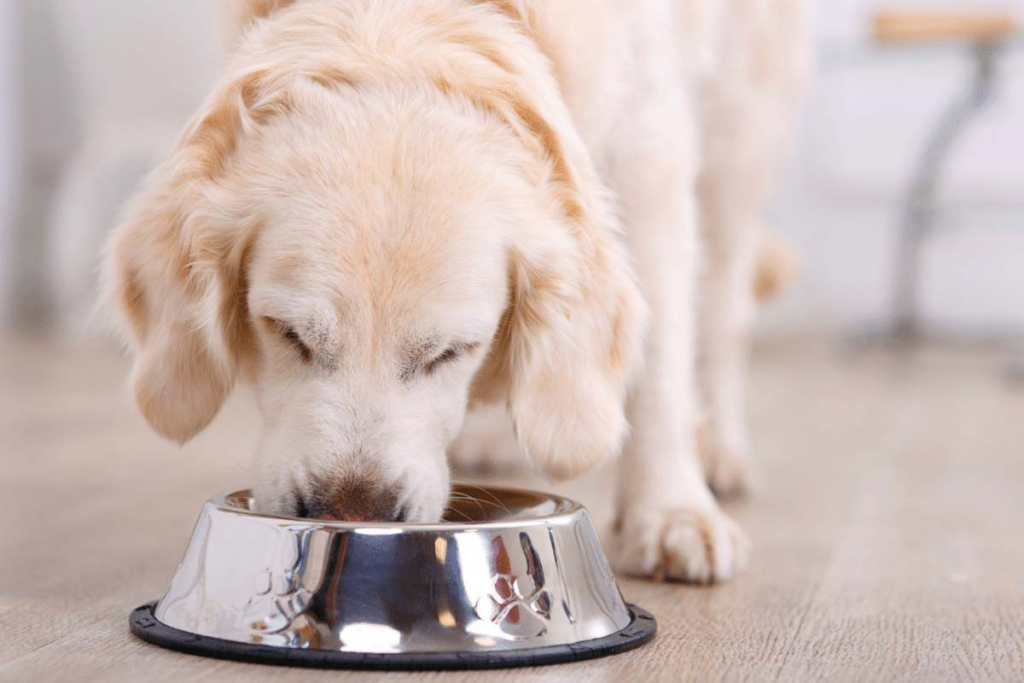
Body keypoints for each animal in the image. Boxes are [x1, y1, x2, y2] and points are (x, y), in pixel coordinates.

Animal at [103, 0, 806, 585]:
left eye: (451, 352)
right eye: (288, 333)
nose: (352, 512)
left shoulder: (650, 149)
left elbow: (660, 361)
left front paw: (671, 512)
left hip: (741, 132)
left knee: (724, 308)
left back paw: (721, 453)